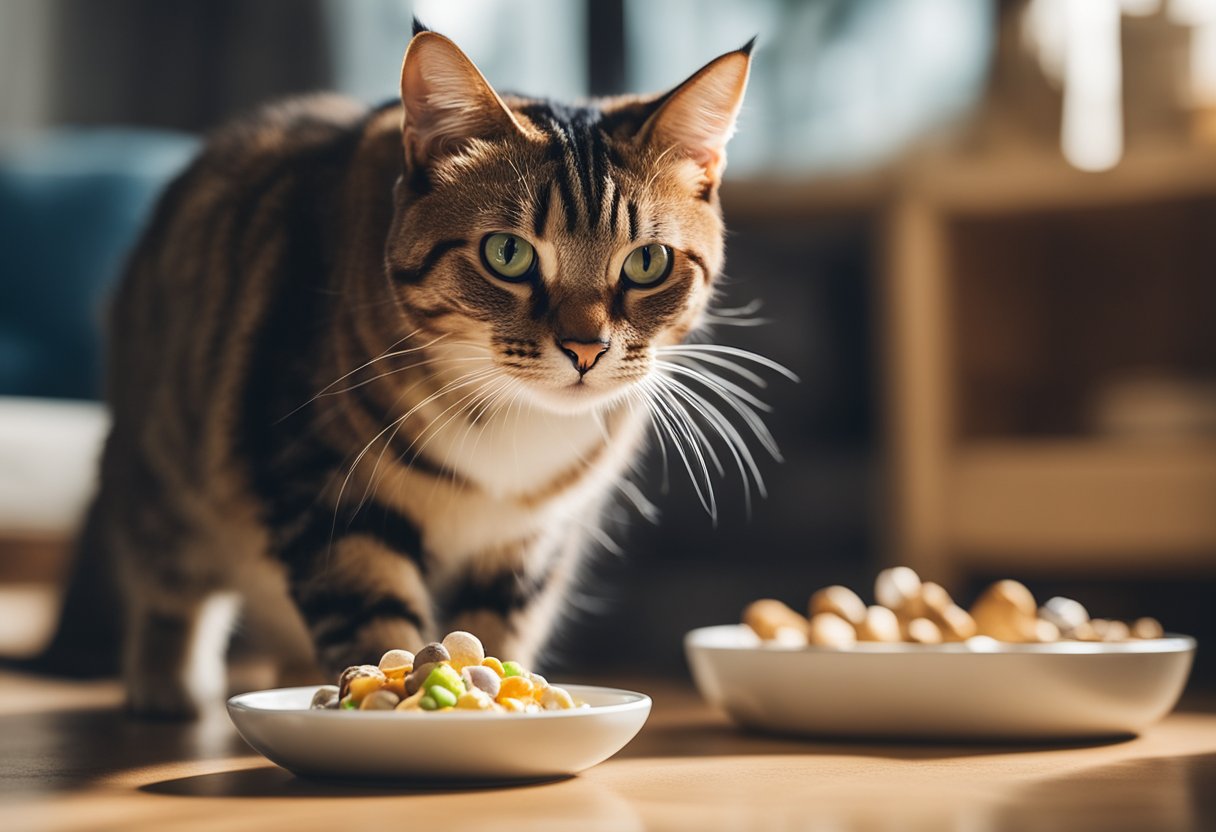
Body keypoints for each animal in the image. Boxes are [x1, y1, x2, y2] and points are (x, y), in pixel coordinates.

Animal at [38, 22, 758, 720]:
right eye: (507, 253)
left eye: (647, 263)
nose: (586, 348)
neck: (513, 426)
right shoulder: (327, 489)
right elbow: (377, 620)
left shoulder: (531, 541)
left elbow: (499, 627)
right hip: (165, 468)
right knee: (166, 583)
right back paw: (166, 684)